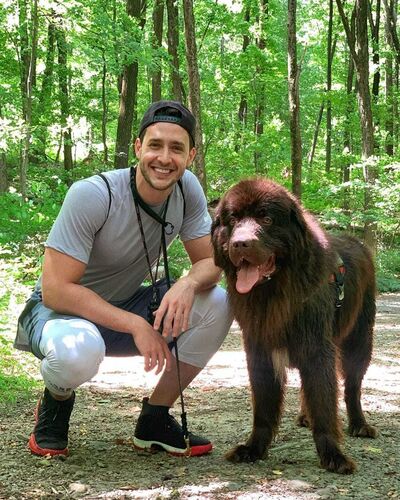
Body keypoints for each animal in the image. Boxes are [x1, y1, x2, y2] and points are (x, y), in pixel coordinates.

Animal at [211, 178, 377, 474]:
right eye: (232, 219)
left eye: (266, 218)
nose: (240, 244)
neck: (275, 291)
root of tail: (356, 240)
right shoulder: (258, 350)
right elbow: (264, 407)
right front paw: (253, 448)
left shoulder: (317, 349)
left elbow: (324, 401)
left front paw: (333, 454)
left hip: (360, 338)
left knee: (352, 386)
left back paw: (359, 424)